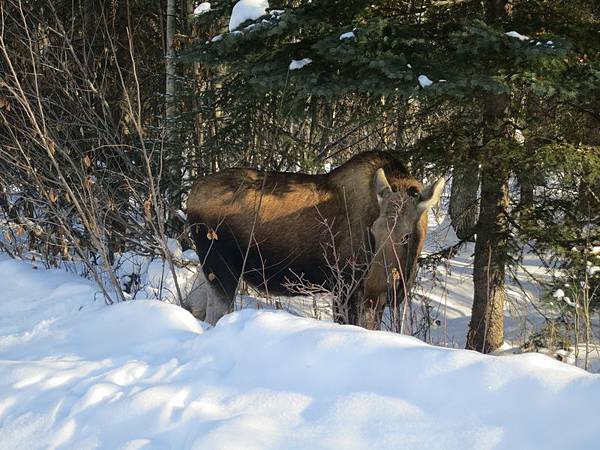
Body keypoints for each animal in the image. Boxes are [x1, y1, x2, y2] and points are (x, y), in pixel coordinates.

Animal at [185, 150, 442, 326]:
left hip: (208, 268)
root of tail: (190, 197)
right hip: (222, 268)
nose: (374, 284)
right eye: (374, 230)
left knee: (193, 306)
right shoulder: (346, 289)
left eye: (406, 236)